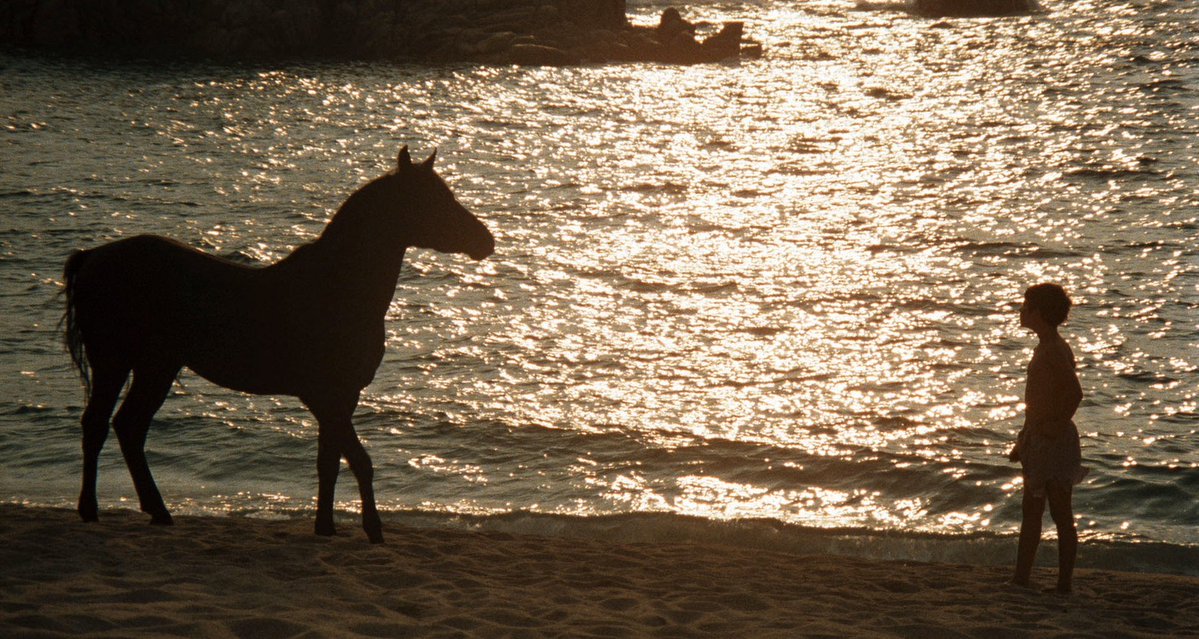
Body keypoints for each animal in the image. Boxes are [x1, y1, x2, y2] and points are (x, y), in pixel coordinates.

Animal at [62, 146, 494, 543]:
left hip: (156, 366)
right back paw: (92, 510)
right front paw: (367, 528)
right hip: (116, 363)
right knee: (98, 425)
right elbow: (355, 460)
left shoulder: (342, 396)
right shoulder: (325, 395)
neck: (337, 287)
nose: (486, 241)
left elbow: (333, 461)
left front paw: (328, 526)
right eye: (432, 199)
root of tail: (92, 256)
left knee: (128, 427)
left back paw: (157, 511)